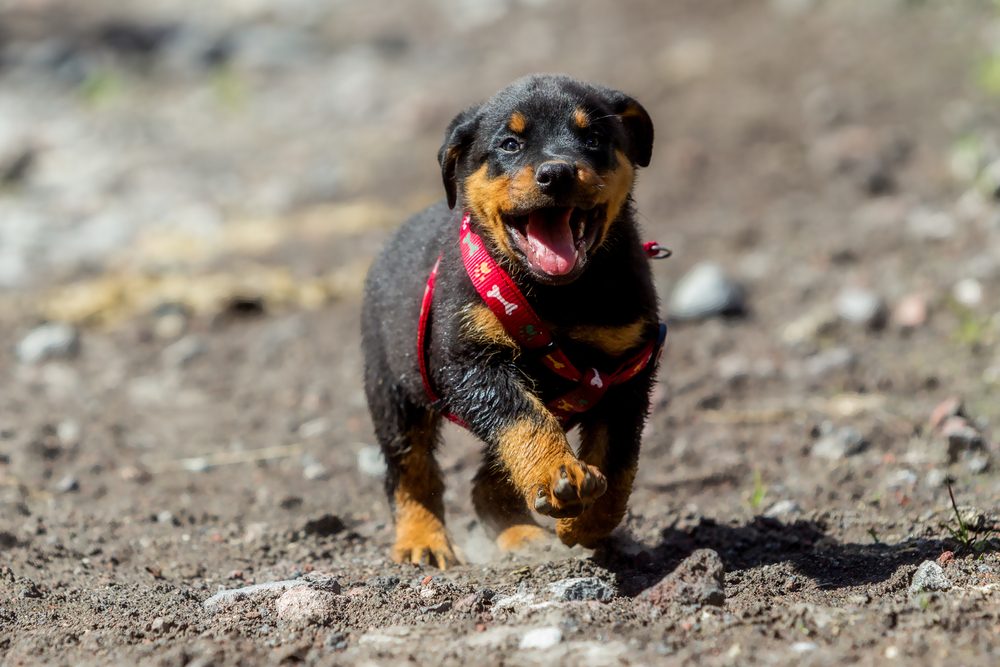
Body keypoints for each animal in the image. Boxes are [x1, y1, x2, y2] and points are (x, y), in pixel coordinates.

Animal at [362, 77, 664, 568]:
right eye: (509, 144)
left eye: (594, 139)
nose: (556, 173)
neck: (558, 297)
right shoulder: (469, 363)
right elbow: (523, 419)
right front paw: (558, 472)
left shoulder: (627, 370)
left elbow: (619, 463)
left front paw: (585, 521)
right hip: (391, 390)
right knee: (410, 469)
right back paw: (422, 539)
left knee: (486, 481)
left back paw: (519, 532)